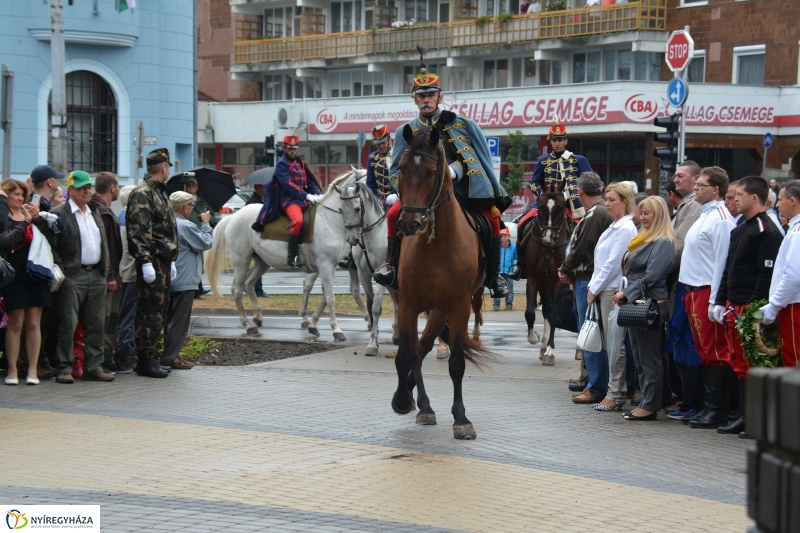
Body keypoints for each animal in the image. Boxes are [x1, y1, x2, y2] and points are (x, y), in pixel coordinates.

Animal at [206, 168, 368, 338]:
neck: (329, 219)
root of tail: (233, 216)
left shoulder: (331, 266)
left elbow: (325, 297)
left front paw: (313, 325)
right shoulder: (325, 265)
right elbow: (330, 297)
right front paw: (336, 330)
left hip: (262, 262)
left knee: (249, 283)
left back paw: (257, 317)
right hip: (241, 261)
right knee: (236, 289)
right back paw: (248, 325)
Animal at [390, 124, 494, 440]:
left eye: (432, 171)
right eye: (400, 167)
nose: (409, 224)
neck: (436, 244)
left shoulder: (459, 306)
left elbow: (456, 363)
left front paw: (461, 418)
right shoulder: (408, 303)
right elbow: (405, 355)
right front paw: (406, 401)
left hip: (439, 312)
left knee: (424, 348)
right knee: (417, 352)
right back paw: (415, 401)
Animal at [520, 179, 572, 366]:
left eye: (561, 206)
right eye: (541, 206)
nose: (548, 239)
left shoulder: (558, 282)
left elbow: (556, 315)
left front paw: (551, 350)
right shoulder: (533, 278)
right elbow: (530, 312)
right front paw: (534, 338)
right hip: (544, 283)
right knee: (546, 311)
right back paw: (542, 347)